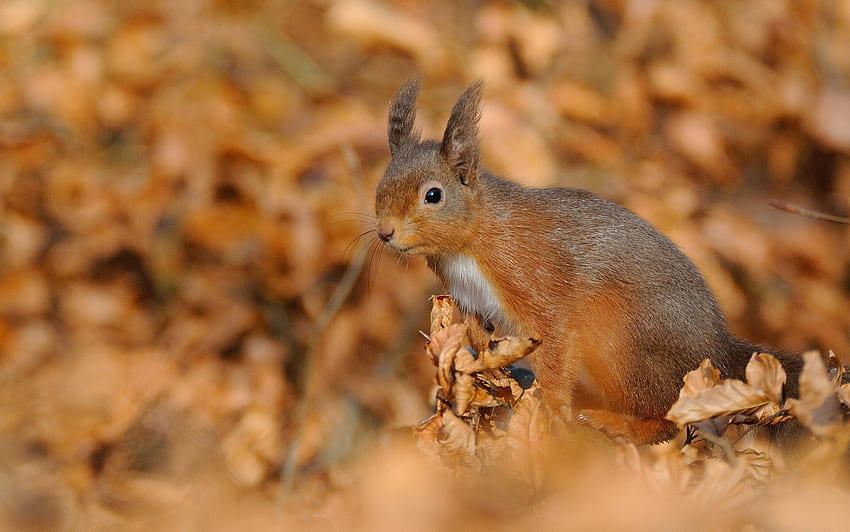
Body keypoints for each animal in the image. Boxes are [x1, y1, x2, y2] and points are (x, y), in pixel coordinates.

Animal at [372, 79, 800, 444]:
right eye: (381, 186)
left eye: (433, 195)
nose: (385, 232)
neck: (467, 244)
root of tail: (717, 351)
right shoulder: (468, 298)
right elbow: (480, 340)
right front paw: (488, 375)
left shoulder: (534, 278)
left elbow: (554, 342)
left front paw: (554, 409)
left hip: (621, 347)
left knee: (668, 418)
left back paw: (622, 425)